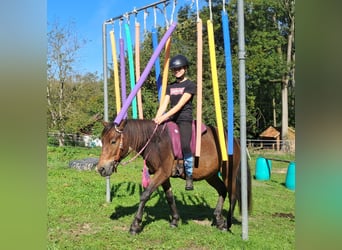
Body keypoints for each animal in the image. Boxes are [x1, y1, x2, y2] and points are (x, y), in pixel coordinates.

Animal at [96, 119, 251, 234]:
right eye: (102, 141)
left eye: (113, 141)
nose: (101, 168)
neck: (155, 142)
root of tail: (235, 140)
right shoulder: (164, 176)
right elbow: (169, 197)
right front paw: (175, 220)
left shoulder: (162, 173)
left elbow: (145, 195)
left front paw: (135, 225)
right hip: (211, 175)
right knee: (222, 191)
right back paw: (219, 219)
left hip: (228, 173)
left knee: (233, 195)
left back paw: (227, 225)